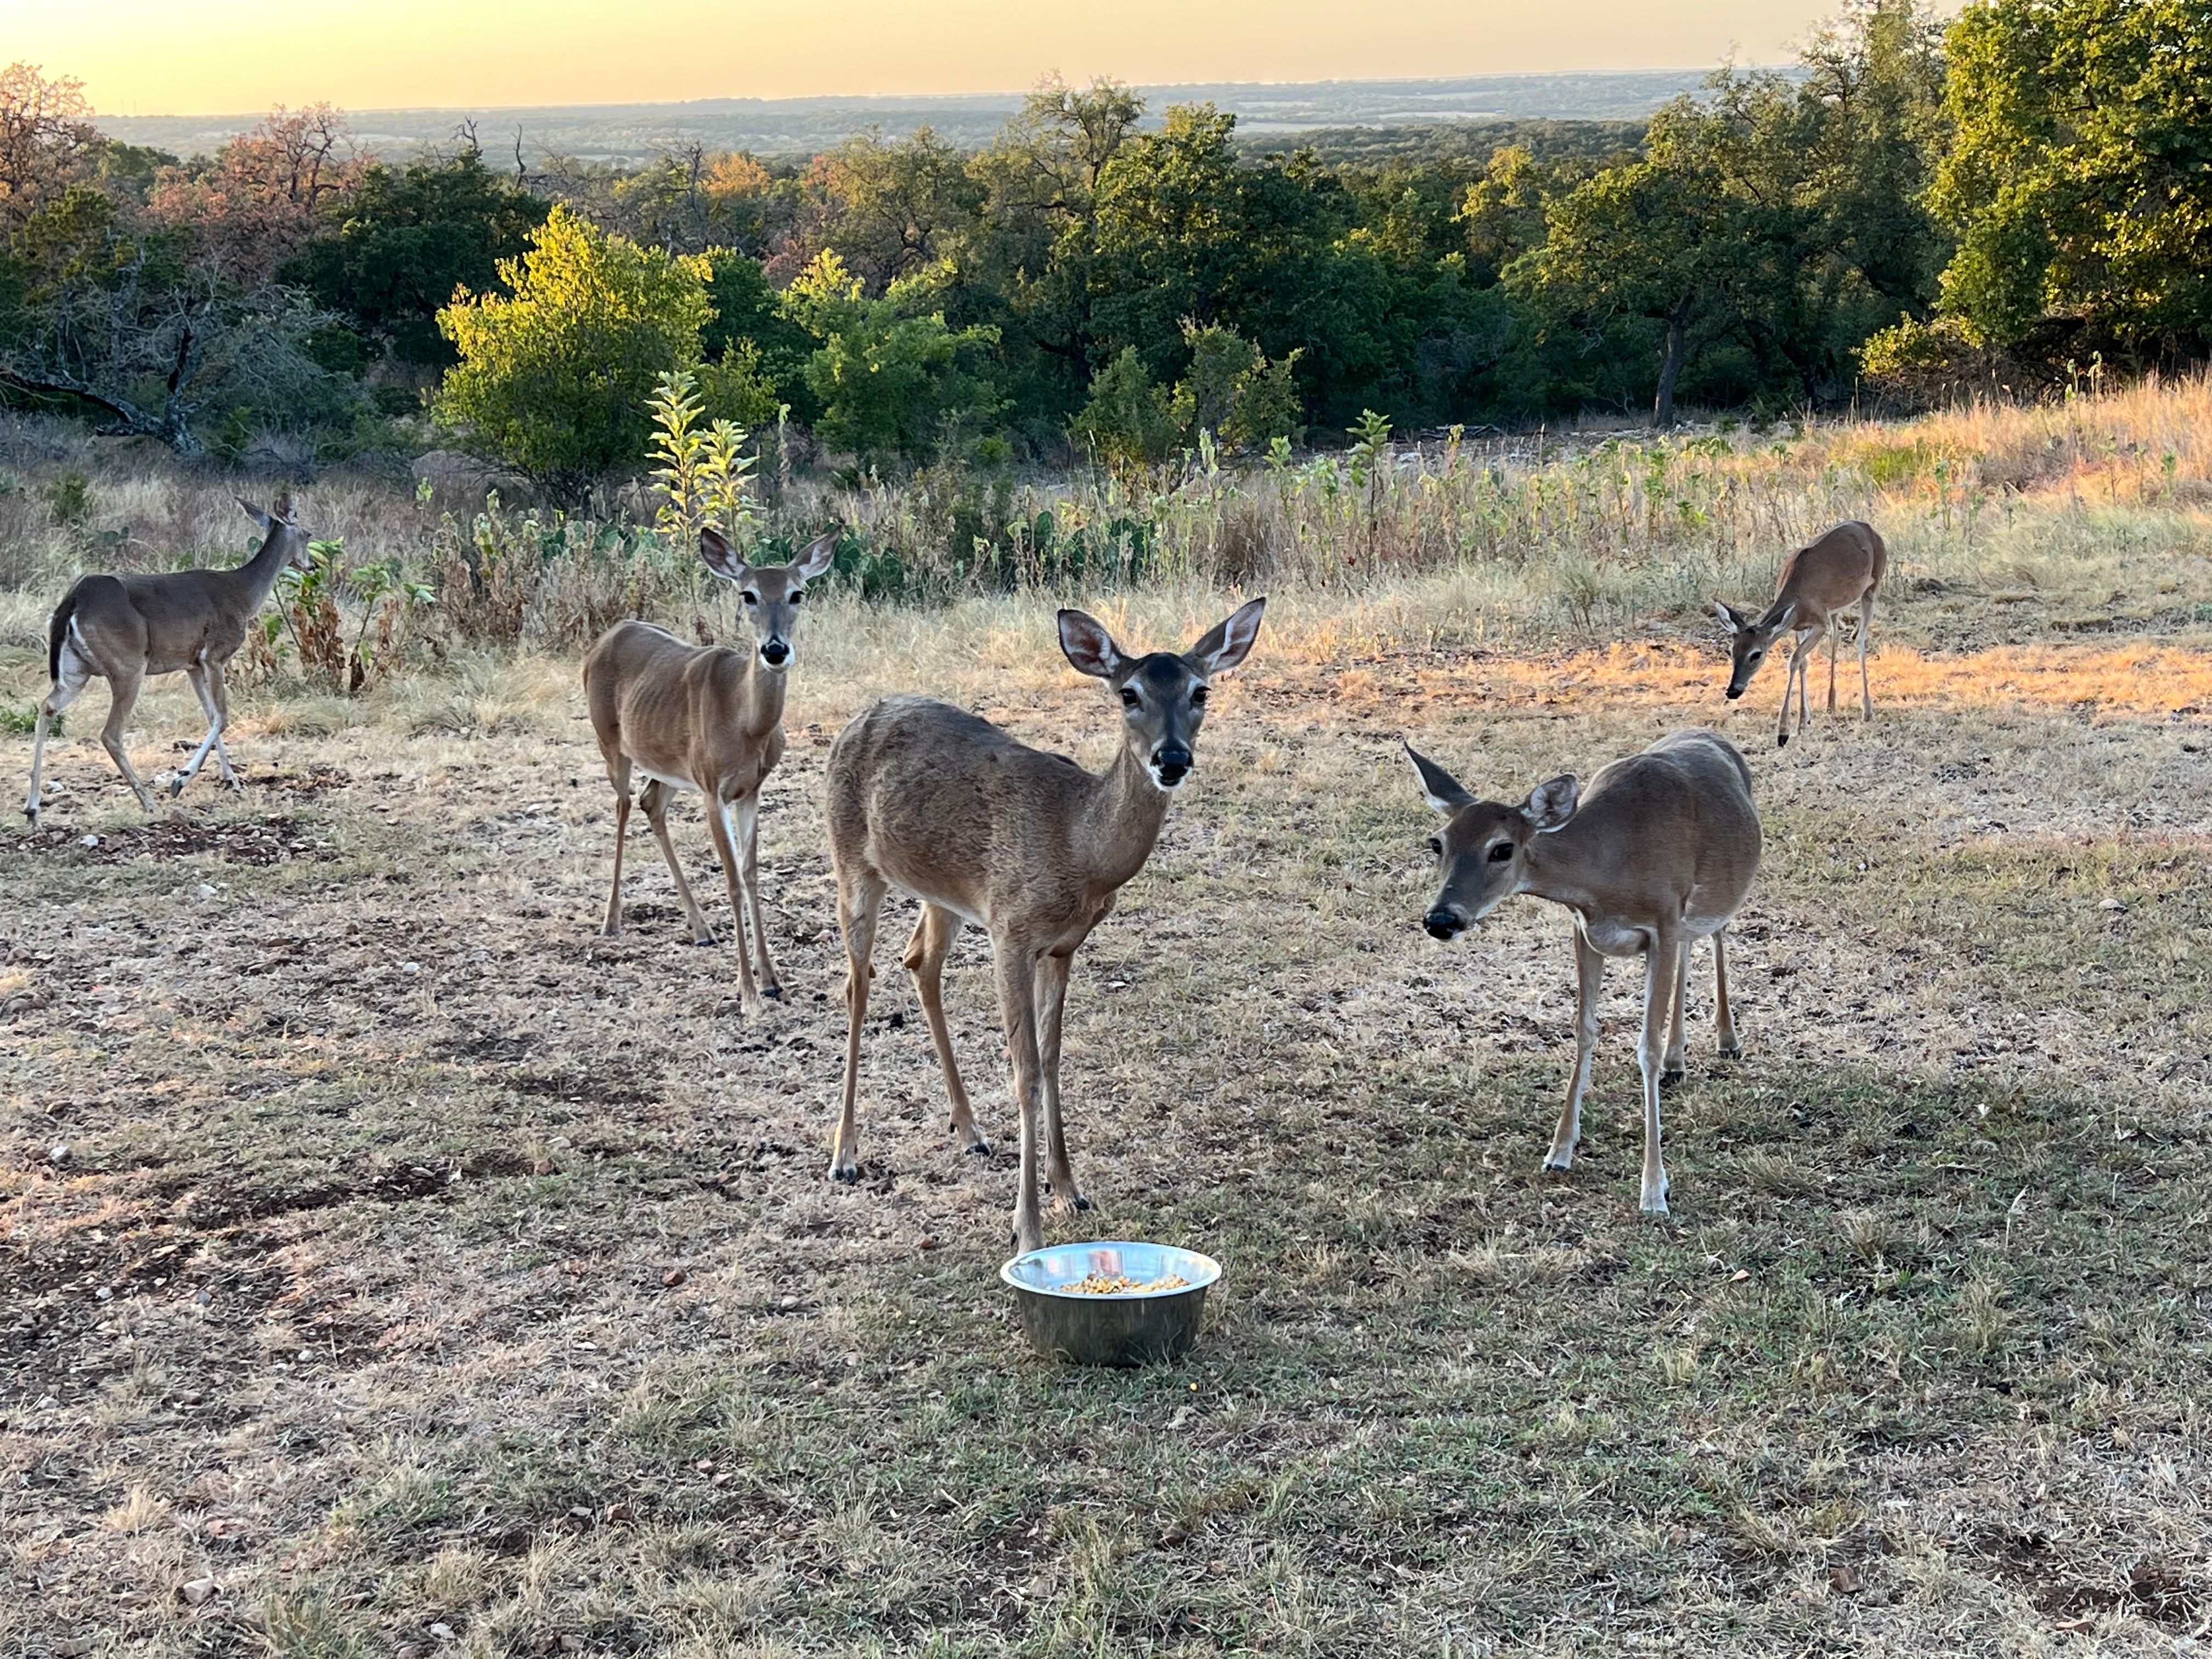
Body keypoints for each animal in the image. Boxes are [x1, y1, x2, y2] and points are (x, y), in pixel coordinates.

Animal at [27, 498, 316, 827]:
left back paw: (33, 809)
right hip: (128, 665)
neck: (242, 595)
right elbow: (223, 716)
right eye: (307, 534)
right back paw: (149, 801)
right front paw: (182, 779)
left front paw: (231, 780)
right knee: (110, 733)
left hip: (75, 671)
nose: (313, 565)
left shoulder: (192, 664)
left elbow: (211, 715)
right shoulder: (214, 655)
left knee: (47, 707)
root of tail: (73, 602)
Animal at [579, 526, 836, 1013]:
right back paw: (611, 920)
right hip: (611, 743)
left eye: (797, 593)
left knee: (650, 803)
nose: (775, 650)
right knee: (623, 806)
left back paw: (701, 929)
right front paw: (748, 991)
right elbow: (732, 879)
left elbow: (751, 874)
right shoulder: (712, 788)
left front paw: (773, 981)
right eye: (747, 594)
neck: (744, 722)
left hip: (671, 766)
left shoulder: (751, 788)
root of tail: (606, 637)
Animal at [827, 592, 1283, 1248]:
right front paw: (1028, 1229)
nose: (1172, 758)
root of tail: (855, 721)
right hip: (852, 860)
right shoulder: (1011, 931)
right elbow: (1025, 1072)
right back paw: (844, 1154)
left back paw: (970, 1132)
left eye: (1201, 692)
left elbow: (1052, 1058)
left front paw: (1069, 1189)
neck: (1079, 849)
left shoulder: (1063, 946)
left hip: (943, 893)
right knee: (857, 984)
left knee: (919, 961)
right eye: (1128, 694)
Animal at [1415, 734, 1760, 1212]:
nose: (1441, 919)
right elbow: (1584, 1030)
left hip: (1716, 897)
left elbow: (1646, 1048)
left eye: (1502, 848)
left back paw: (1727, 1040)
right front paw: (1559, 1151)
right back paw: (1678, 1061)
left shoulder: (1663, 923)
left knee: (1717, 935)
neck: (1610, 870)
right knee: (1692, 951)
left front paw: (1654, 1189)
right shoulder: (1585, 929)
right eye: (1438, 843)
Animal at [1707, 522, 1884, 752]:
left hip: (1872, 586)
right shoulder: (1797, 626)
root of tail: (1868, 527)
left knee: (1860, 639)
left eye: (1756, 654)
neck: (1799, 599)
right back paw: (1831, 704)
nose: (1732, 691)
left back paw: (1867, 710)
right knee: (1836, 639)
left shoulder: (1819, 622)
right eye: (1731, 651)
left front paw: (1784, 732)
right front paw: (1803, 721)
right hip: (1836, 608)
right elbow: (1803, 663)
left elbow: (1794, 660)